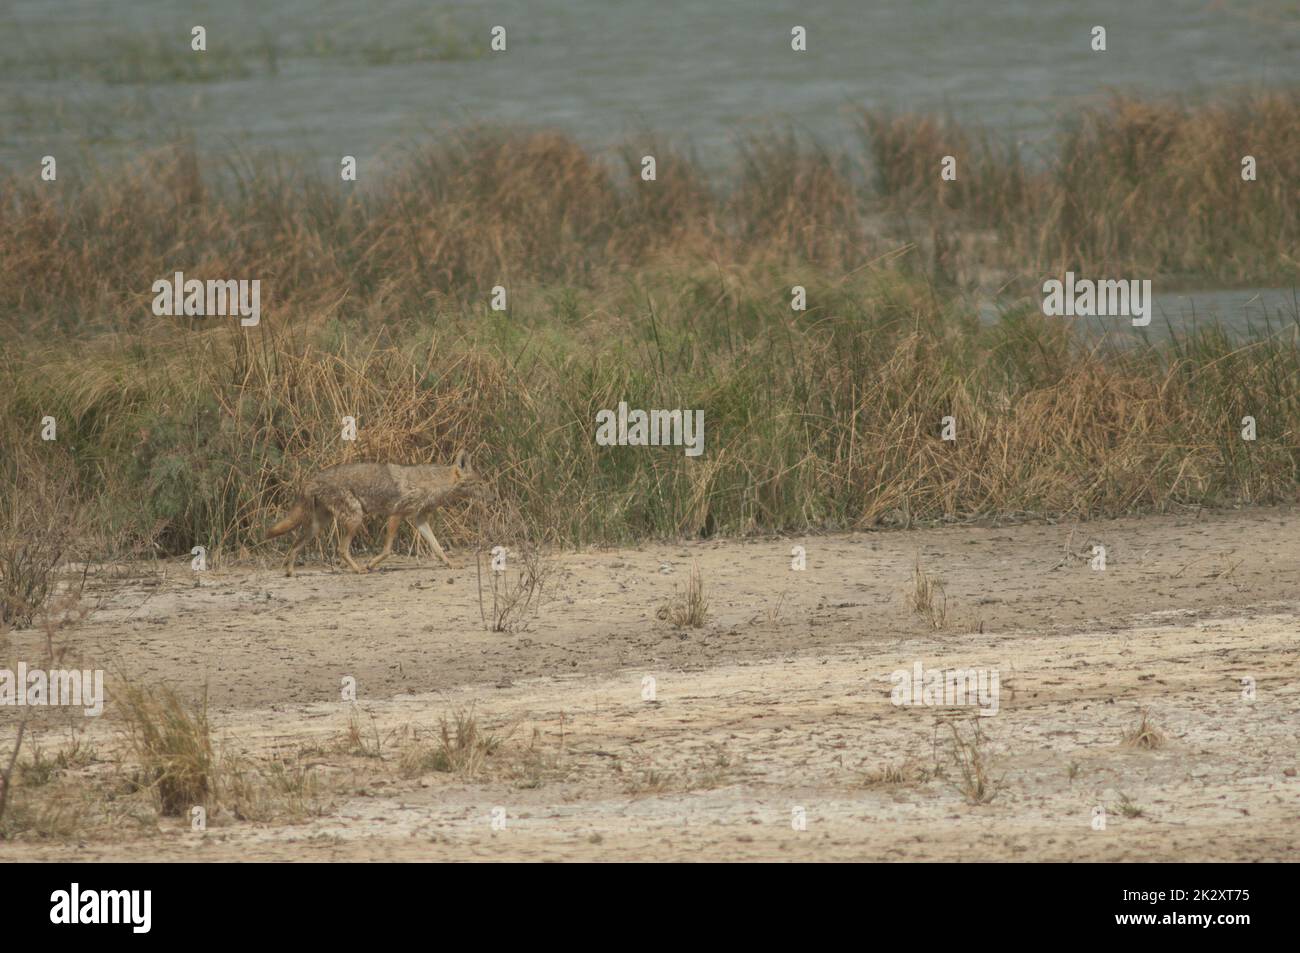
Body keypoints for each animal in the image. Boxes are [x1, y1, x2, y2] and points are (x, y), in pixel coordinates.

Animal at [267, 451, 489, 576]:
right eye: (479, 484)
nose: (491, 495)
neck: (433, 483)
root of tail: (312, 479)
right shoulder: (396, 514)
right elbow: (387, 550)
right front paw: (371, 564)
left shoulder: (419, 520)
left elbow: (438, 548)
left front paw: (451, 564)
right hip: (355, 519)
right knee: (341, 548)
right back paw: (358, 570)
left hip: (318, 526)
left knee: (295, 546)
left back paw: (290, 573)